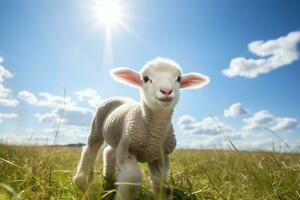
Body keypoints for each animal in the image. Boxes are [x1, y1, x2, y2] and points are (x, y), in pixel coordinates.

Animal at [73, 57, 209, 199]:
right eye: (145, 78)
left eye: (178, 78)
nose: (166, 91)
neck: (154, 134)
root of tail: (119, 96)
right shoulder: (128, 149)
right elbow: (131, 180)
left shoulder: (160, 156)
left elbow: (159, 182)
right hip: (98, 126)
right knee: (90, 149)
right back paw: (82, 181)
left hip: (118, 136)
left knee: (109, 151)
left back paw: (109, 181)